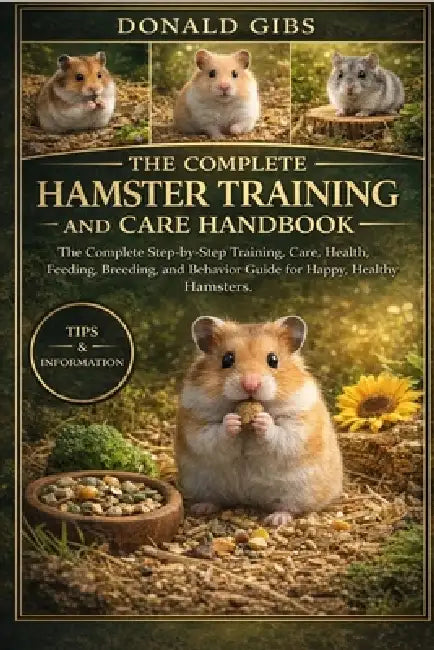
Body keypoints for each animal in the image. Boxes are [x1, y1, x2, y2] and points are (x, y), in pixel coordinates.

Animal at [175, 316, 343, 525]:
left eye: (273, 360)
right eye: (227, 359)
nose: (250, 385)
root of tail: (247, 499)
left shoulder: (300, 422)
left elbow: (283, 433)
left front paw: (262, 420)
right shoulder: (196, 421)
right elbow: (212, 434)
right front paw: (232, 420)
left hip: (298, 489)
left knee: (289, 507)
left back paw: (277, 519)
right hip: (203, 483)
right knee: (215, 499)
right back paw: (202, 508)